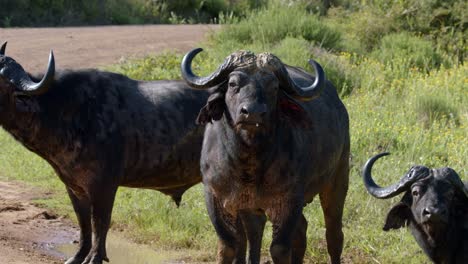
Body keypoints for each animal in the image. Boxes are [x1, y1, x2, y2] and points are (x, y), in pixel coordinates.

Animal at [0, 43, 264, 264]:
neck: (66, 110)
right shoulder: (73, 187)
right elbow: (84, 224)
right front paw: (77, 256)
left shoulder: (104, 185)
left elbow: (100, 223)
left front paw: (95, 258)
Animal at [181, 48, 350, 262]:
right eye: (233, 84)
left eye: (273, 87)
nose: (252, 113)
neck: (248, 162)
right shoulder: (216, 197)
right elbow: (229, 245)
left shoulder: (289, 200)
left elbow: (279, 248)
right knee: (293, 231)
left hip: (338, 179)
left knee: (333, 234)